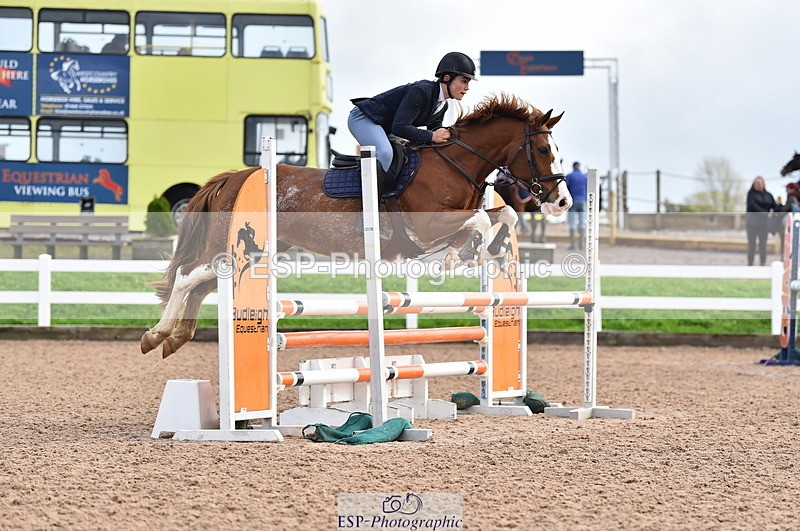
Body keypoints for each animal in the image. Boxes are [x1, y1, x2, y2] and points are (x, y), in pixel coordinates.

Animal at [141, 94, 573, 358]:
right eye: (542, 149)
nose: (563, 202)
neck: (455, 164)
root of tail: (237, 177)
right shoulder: (426, 228)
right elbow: (483, 217)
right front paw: (461, 255)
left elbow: (503, 216)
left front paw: (480, 251)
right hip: (230, 248)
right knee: (187, 274)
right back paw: (156, 335)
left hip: (258, 251)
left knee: (201, 283)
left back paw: (175, 339)